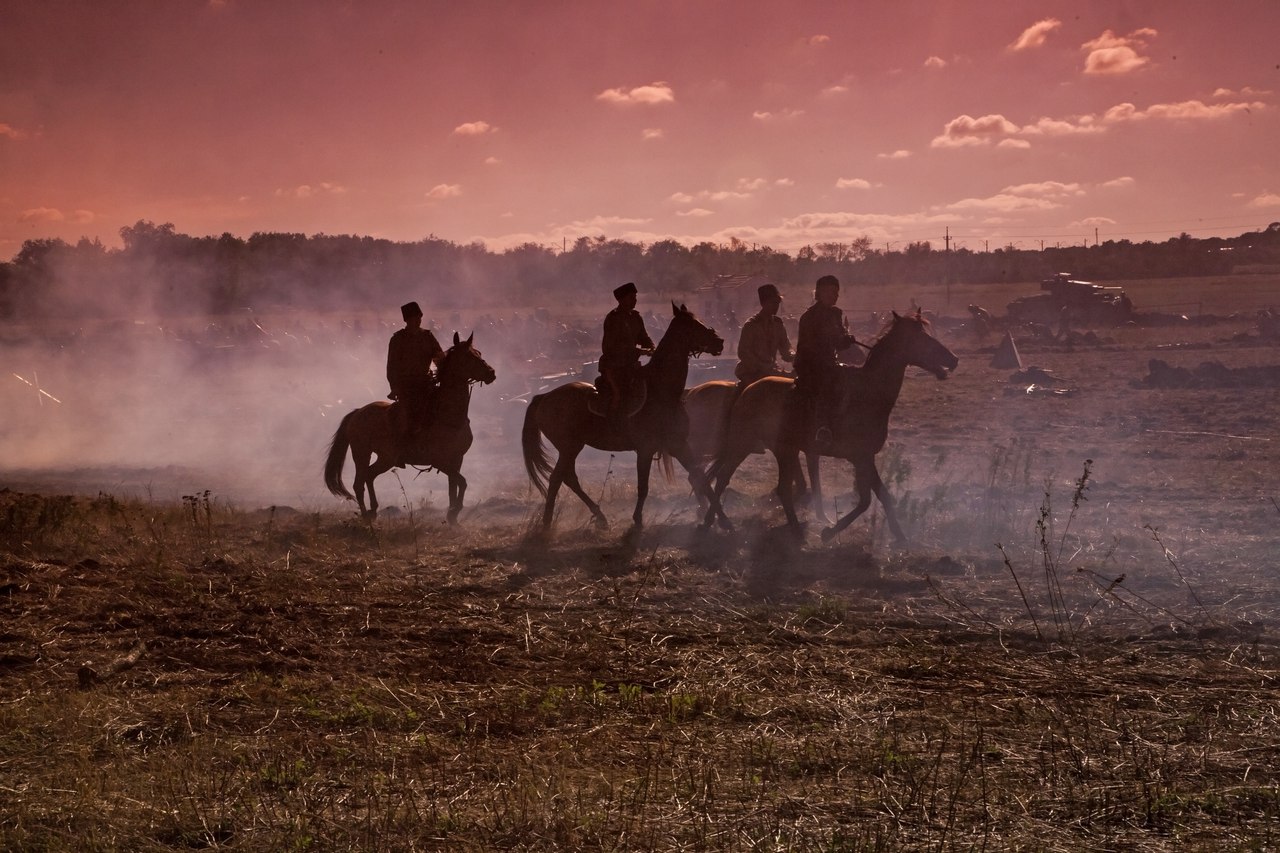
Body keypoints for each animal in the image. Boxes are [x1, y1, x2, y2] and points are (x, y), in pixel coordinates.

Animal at [325, 330, 494, 517]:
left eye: (479, 353)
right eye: (468, 356)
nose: (491, 373)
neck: (448, 416)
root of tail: (357, 413)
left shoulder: (457, 459)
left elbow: (454, 486)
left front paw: (452, 515)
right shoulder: (439, 461)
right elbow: (462, 482)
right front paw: (455, 510)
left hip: (384, 458)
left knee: (368, 476)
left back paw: (373, 509)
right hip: (363, 454)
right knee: (359, 483)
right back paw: (366, 515)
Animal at [522, 303, 727, 532]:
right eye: (693, 325)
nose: (720, 342)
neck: (661, 390)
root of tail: (544, 397)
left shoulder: (679, 444)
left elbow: (701, 478)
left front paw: (721, 519)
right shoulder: (645, 449)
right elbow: (643, 486)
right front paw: (637, 519)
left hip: (571, 448)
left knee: (568, 478)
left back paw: (598, 516)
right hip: (569, 447)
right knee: (558, 478)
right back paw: (548, 521)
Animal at [701, 308, 962, 540]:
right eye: (920, 337)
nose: (953, 359)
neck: (868, 394)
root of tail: (747, 390)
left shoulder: (865, 457)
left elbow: (882, 496)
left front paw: (900, 536)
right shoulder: (860, 457)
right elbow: (866, 500)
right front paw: (829, 532)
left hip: (782, 450)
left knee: (764, 486)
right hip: (745, 445)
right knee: (726, 479)